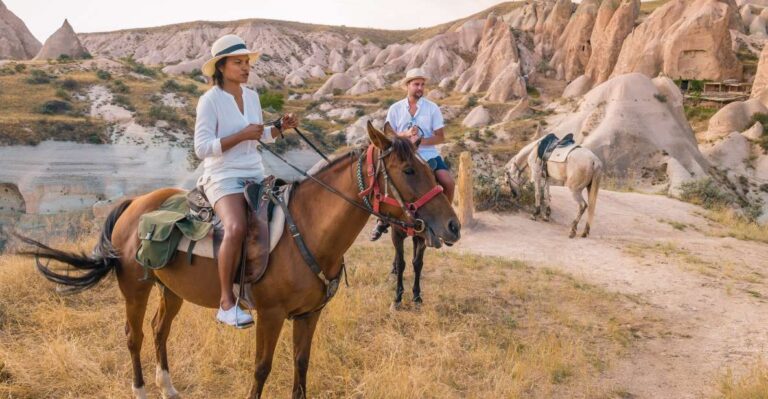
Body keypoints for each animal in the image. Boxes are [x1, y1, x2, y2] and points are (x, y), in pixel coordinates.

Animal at [16, 122, 462, 399]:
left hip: (170, 290)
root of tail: (134, 204)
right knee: (134, 336)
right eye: (407, 170)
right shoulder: (270, 315)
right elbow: (262, 368)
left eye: (427, 165)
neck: (308, 231)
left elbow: (301, 365)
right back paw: (141, 388)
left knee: (160, 332)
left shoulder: (309, 315)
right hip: (135, 289)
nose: (453, 225)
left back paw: (168, 386)